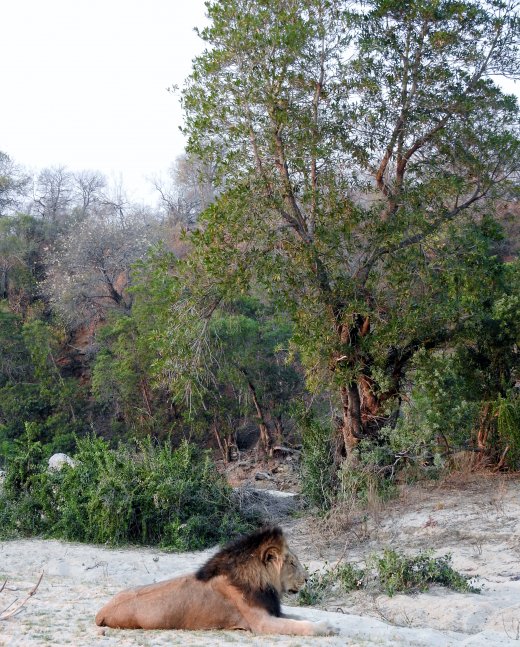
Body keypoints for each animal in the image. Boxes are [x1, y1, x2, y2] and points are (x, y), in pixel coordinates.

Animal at [95, 526, 336, 636]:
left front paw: (330, 623)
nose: (307, 579)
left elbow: (300, 617)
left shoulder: (271, 611)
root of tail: (101, 612)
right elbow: (300, 625)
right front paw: (325, 627)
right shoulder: (260, 622)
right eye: (293, 563)